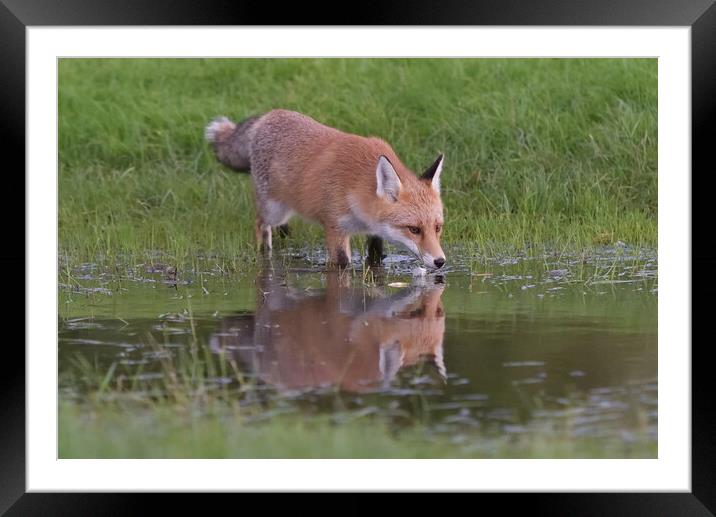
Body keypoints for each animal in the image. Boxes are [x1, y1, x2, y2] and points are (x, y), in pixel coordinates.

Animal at [204, 110, 444, 270]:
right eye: (414, 229)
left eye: (438, 228)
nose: (440, 261)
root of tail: (268, 116)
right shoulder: (335, 226)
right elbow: (342, 265)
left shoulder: (375, 233)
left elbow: (375, 260)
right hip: (273, 210)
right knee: (261, 224)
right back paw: (267, 253)